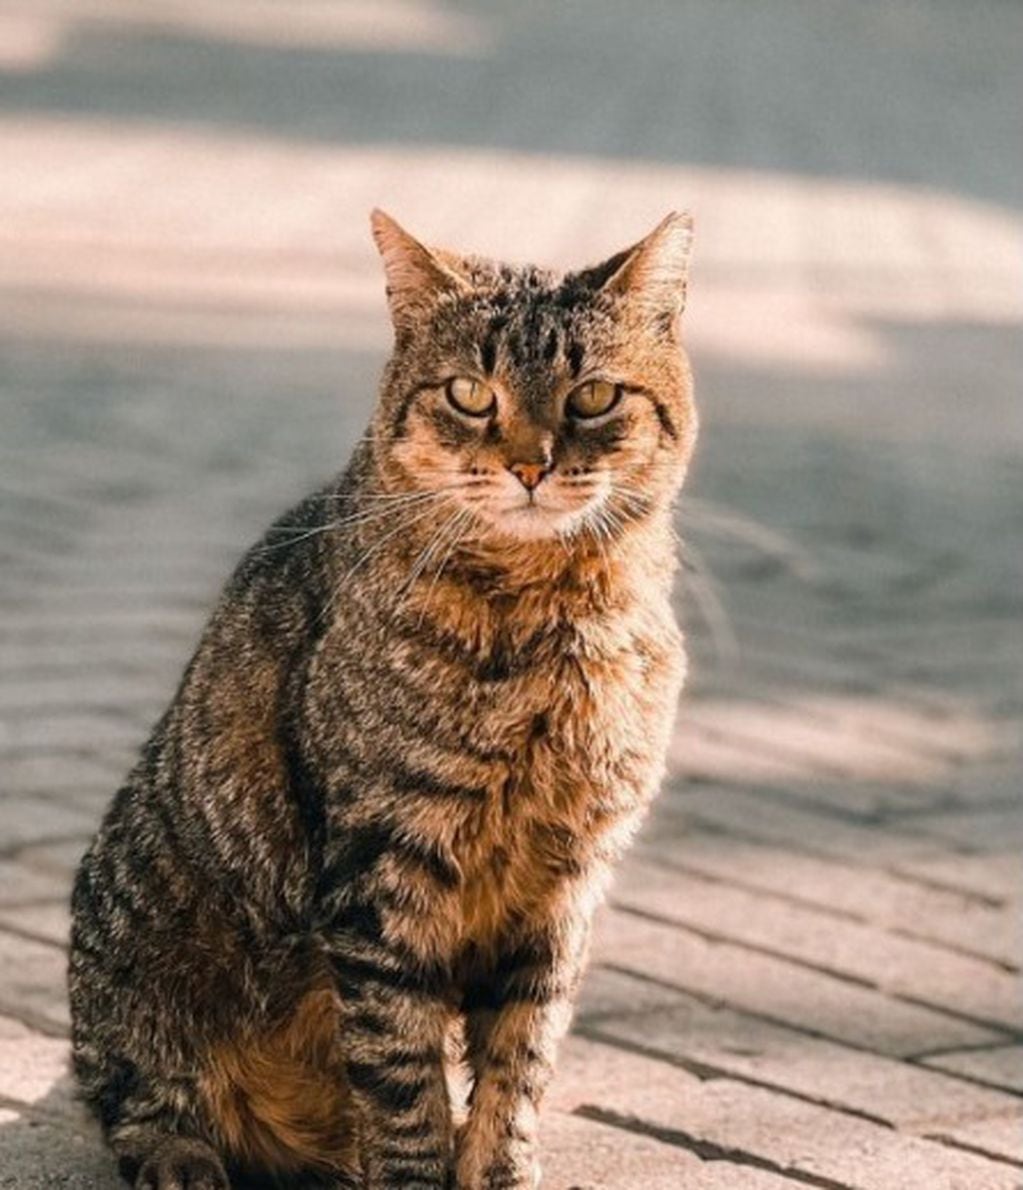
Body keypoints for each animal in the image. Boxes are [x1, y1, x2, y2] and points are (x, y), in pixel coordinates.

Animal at [69, 211, 694, 1190]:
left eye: (592, 397)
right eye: (470, 393)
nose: (529, 466)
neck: (547, 623)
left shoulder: (565, 885)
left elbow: (517, 1070)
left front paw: (500, 1166)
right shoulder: (382, 872)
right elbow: (403, 1085)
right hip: (137, 958)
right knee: (138, 1099)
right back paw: (185, 1157)